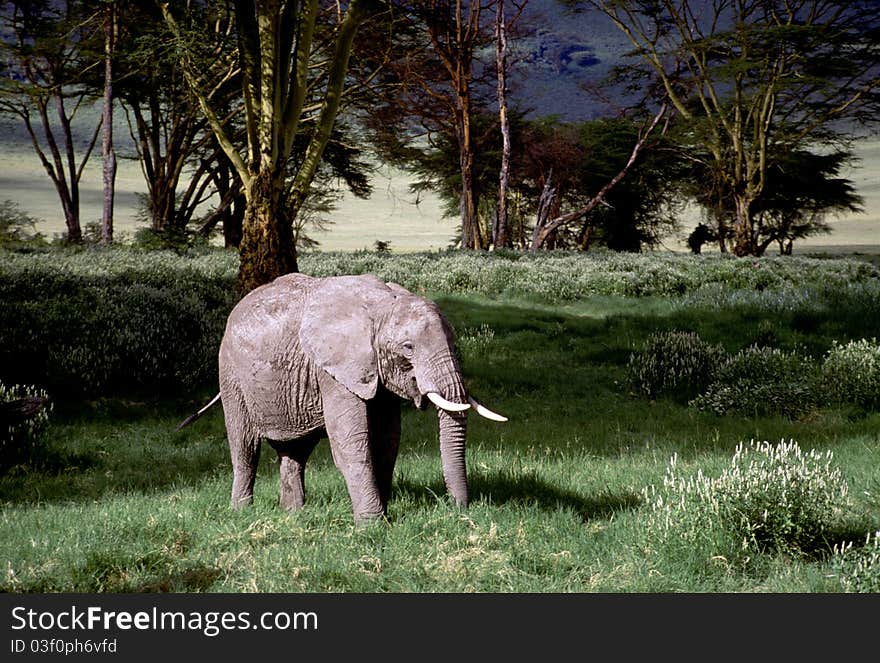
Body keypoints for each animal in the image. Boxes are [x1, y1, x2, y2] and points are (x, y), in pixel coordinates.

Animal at [179, 272, 506, 520]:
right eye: (408, 348)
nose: (458, 510)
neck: (382, 304)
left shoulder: (374, 372)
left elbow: (387, 440)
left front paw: (382, 512)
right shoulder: (333, 370)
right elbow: (350, 442)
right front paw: (374, 525)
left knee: (296, 450)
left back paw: (293, 514)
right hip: (231, 374)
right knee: (245, 446)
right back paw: (242, 512)